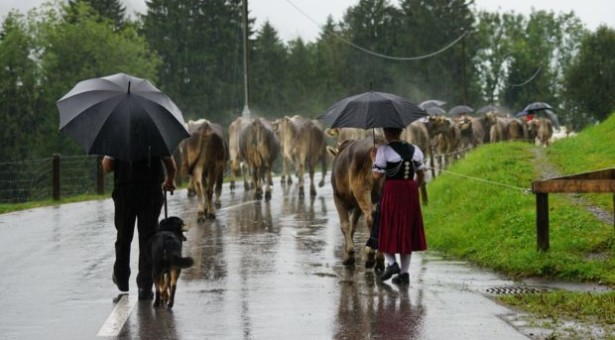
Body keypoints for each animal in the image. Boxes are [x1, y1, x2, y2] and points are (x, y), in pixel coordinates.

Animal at [330, 137, 382, 270]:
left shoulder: (338, 197)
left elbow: (345, 225)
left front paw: (349, 255)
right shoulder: (356, 205)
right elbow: (353, 226)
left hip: (361, 187)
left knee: (370, 216)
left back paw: (370, 255)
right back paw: (381, 258)